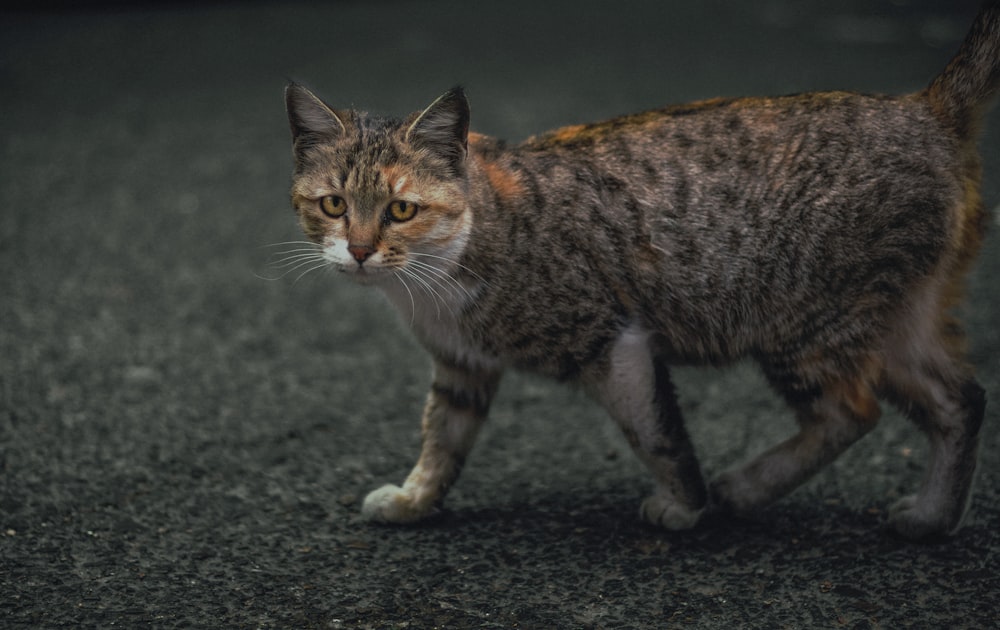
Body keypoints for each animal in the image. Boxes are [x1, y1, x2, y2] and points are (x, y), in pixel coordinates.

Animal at [284, 2, 1000, 540]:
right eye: (334, 205)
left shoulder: (612, 338)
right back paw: (933, 517)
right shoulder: (463, 363)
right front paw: (416, 498)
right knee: (959, 400)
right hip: (895, 319)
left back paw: (742, 489)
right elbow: (442, 435)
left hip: (804, 321)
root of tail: (921, 109)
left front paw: (686, 506)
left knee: (852, 411)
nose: (360, 250)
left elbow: (655, 433)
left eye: (401, 209)